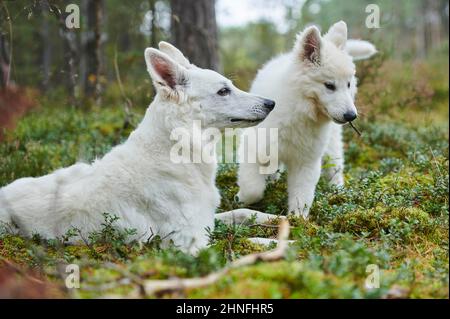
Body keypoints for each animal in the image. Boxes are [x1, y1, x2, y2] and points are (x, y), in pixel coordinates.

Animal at [0, 42, 278, 254]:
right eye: (223, 91)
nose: (271, 103)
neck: (177, 152)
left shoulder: (207, 219)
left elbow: (242, 212)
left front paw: (280, 220)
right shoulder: (188, 243)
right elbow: (248, 241)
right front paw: (281, 243)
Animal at [237, 21, 378, 218]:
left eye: (348, 84)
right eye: (329, 85)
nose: (351, 115)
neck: (300, 112)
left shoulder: (307, 161)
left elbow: (302, 195)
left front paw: (297, 219)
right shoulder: (253, 145)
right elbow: (253, 189)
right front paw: (242, 199)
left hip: (331, 144)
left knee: (336, 167)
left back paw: (338, 190)